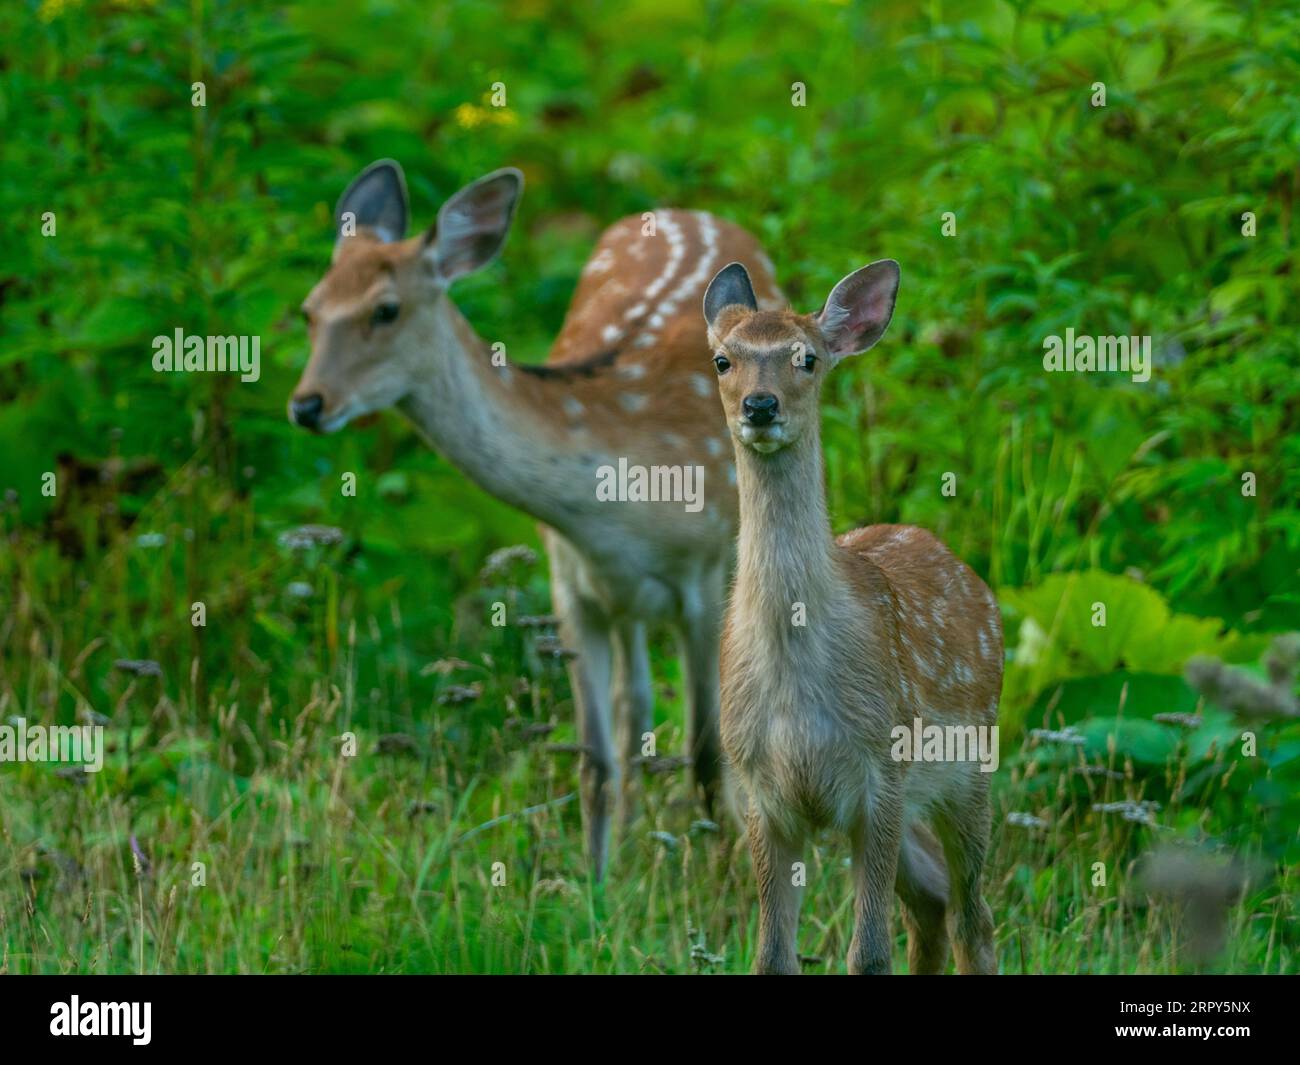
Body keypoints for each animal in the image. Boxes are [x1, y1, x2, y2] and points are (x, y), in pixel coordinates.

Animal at [288, 156, 780, 873]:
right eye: (310, 310)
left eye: (386, 309)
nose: (307, 404)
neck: (615, 498)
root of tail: (695, 211)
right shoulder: (570, 581)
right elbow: (595, 758)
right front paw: (596, 883)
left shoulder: (702, 573)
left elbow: (708, 749)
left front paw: (720, 878)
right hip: (622, 600)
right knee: (633, 706)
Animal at [707, 258, 998, 972]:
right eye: (724, 360)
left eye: (806, 358)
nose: (761, 405)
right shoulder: (759, 793)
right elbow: (772, 955)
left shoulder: (879, 773)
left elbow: (867, 954)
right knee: (933, 902)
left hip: (969, 771)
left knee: (973, 914)